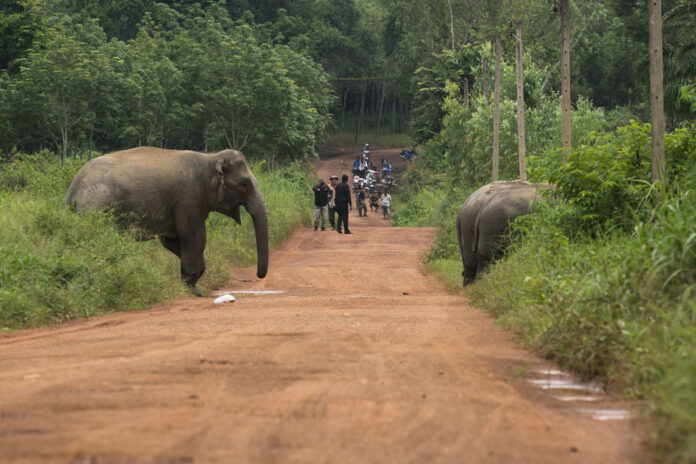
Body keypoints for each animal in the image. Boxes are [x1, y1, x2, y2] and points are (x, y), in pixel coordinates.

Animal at [65, 147, 268, 296]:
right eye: (244, 185)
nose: (259, 275)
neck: (210, 158)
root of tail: (73, 187)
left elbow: (170, 241)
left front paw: (191, 284)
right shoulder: (189, 199)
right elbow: (193, 236)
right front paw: (194, 289)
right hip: (98, 205)